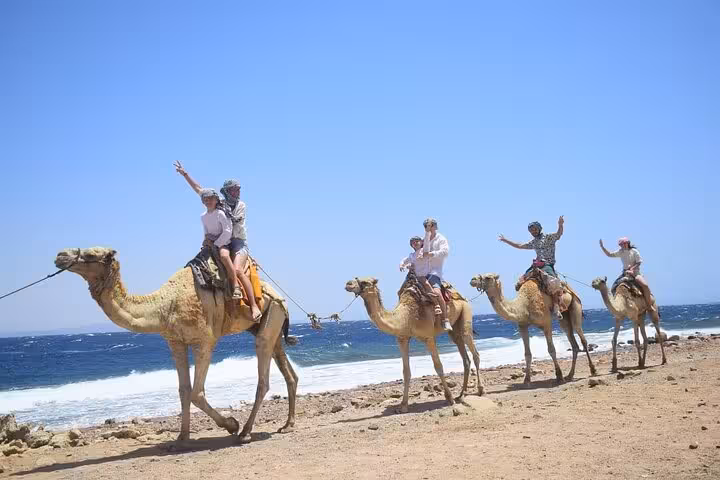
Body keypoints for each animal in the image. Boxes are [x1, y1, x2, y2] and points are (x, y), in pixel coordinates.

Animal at [55, 247, 299, 444]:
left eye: (91, 255)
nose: (60, 255)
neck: (164, 306)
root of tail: (281, 298)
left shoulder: (204, 340)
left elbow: (196, 393)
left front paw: (231, 424)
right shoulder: (175, 342)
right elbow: (184, 391)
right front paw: (182, 438)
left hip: (270, 317)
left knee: (263, 378)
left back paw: (245, 432)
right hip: (270, 325)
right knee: (289, 373)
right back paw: (287, 425)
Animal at [344, 276, 483, 413]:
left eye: (365, 282)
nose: (348, 284)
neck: (406, 316)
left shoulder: (428, 337)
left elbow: (438, 366)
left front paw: (449, 398)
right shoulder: (402, 339)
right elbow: (406, 372)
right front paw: (403, 406)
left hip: (465, 312)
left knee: (473, 350)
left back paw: (480, 390)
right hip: (454, 331)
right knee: (464, 356)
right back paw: (461, 394)